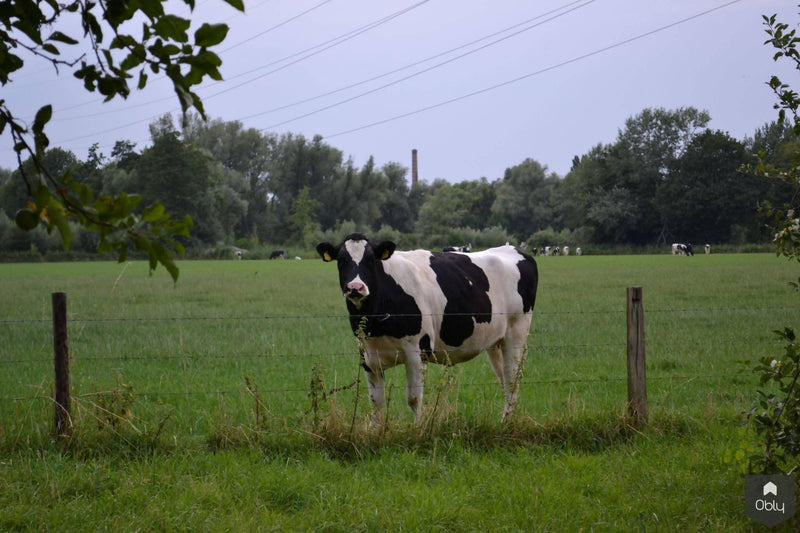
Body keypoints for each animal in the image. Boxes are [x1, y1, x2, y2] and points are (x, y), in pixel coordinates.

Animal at [318, 233, 536, 424]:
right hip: (495, 342)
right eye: (341, 261)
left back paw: (506, 423)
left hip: (516, 334)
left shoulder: (417, 351)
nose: (355, 288)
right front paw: (375, 431)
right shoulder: (367, 356)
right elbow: (375, 401)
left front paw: (417, 430)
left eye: (371, 260)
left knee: (512, 380)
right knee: (505, 380)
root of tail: (513, 249)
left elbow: (414, 399)